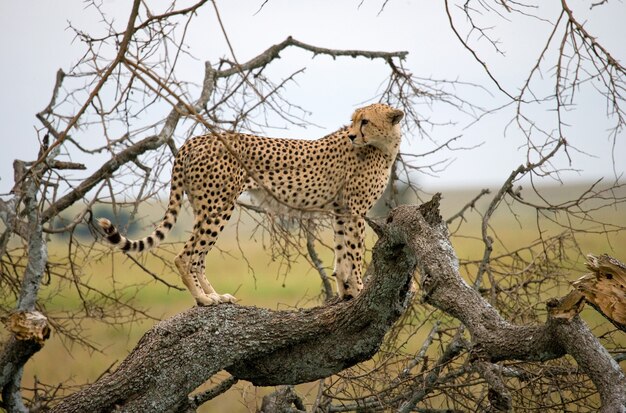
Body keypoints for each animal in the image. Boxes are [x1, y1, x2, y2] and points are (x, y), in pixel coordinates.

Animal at [95, 102, 402, 302]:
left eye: (364, 121)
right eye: (354, 121)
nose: (351, 135)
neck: (383, 146)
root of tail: (194, 140)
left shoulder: (342, 211)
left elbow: (341, 256)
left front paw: (346, 293)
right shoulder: (356, 212)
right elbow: (354, 254)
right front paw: (360, 291)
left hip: (204, 207)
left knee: (198, 258)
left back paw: (215, 296)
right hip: (220, 206)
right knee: (186, 256)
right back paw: (203, 300)